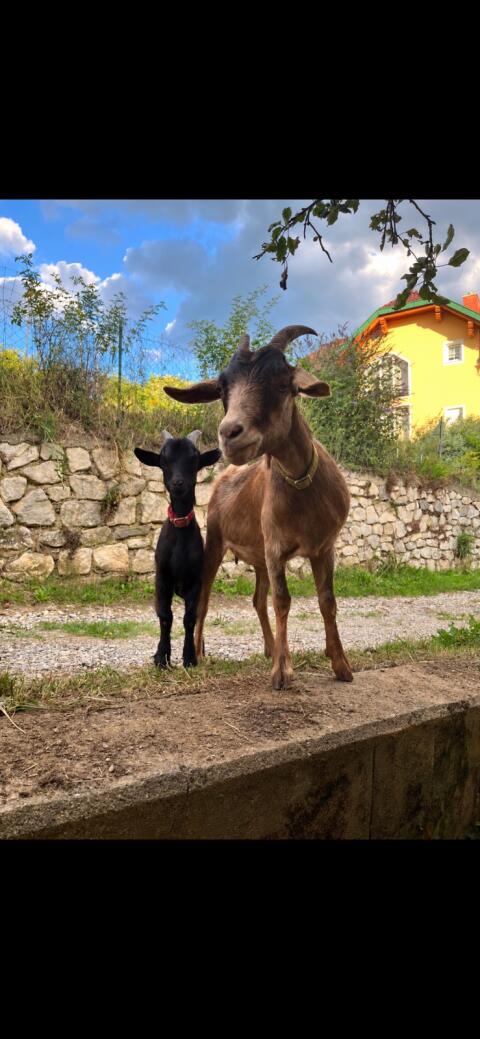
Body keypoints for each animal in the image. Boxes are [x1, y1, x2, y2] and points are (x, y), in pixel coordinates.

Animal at [134, 431, 221, 668]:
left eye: (194, 459)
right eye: (164, 460)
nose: (178, 483)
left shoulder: (195, 581)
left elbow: (190, 618)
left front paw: (190, 657)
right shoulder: (162, 578)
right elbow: (165, 616)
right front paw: (162, 657)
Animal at [163, 326, 353, 690]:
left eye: (282, 384)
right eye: (222, 390)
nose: (229, 434)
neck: (303, 486)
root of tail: (224, 477)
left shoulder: (324, 547)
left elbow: (327, 601)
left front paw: (341, 665)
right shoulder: (276, 547)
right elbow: (283, 600)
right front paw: (282, 672)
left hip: (260, 555)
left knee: (257, 599)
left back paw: (269, 647)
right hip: (216, 543)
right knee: (205, 598)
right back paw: (199, 652)